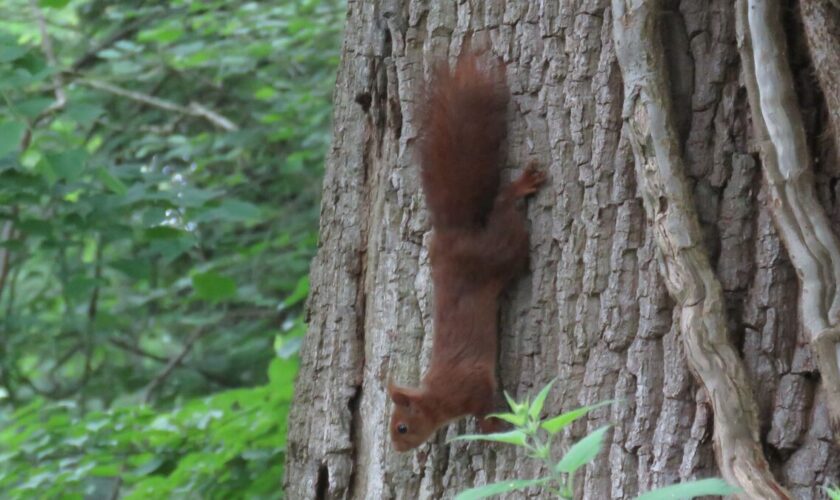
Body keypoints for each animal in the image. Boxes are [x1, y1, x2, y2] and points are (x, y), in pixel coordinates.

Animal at [390, 50, 548, 454]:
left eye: (401, 427)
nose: (397, 449)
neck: (437, 397)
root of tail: (453, 236)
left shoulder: (472, 386)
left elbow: (485, 407)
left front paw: (495, 428)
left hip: (499, 251)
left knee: (505, 209)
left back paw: (522, 185)